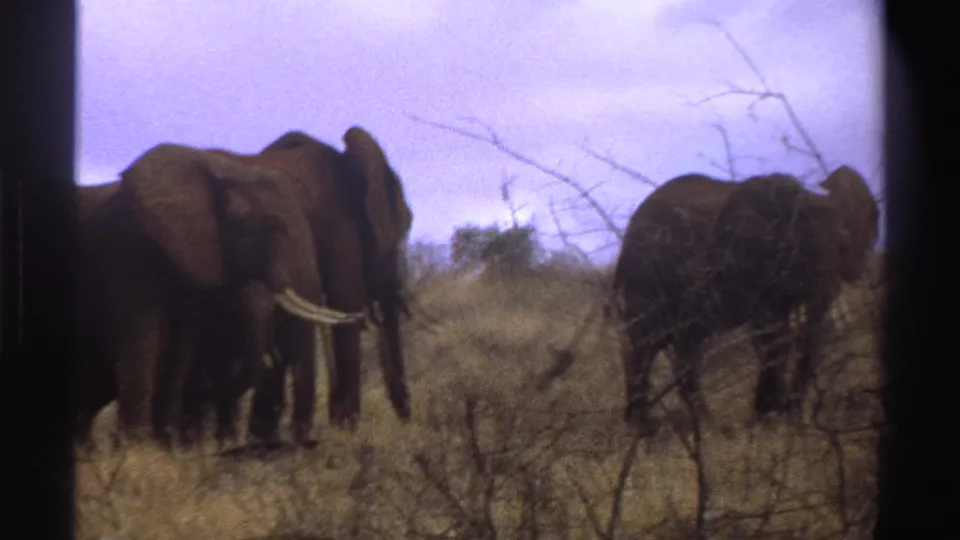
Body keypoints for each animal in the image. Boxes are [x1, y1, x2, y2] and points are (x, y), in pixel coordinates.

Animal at [74, 143, 358, 448]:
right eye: (272, 227)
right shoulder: (126, 249)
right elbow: (142, 343)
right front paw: (137, 449)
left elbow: (181, 350)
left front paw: (167, 447)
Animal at [612, 166, 880, 431]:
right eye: (795, 248)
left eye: (842, 246)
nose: (793, 410)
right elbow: (772, 334)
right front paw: (770, 416)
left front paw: (776, 415)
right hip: (648, 284)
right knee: (644, 347)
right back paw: (650, 430)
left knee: (682, 352)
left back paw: (703, 427)